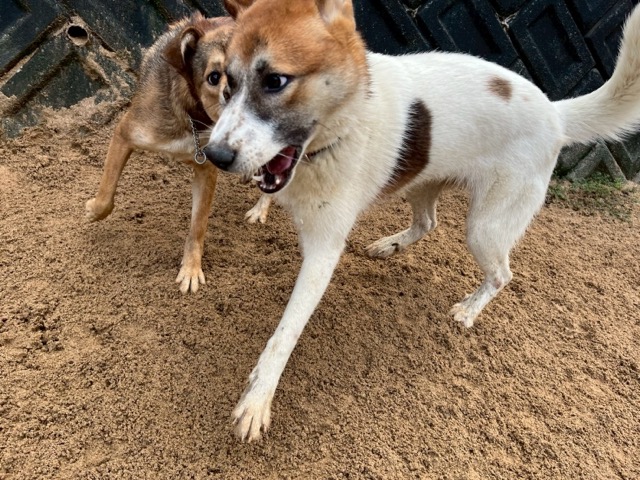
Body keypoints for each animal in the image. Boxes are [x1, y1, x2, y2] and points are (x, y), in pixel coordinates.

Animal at [85, 12, 271, 293]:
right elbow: (107, 192)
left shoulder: (206, 172)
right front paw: (94, 210)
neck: (195, 119)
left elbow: (198, 226)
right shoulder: (125, 134)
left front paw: (191, 269)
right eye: (213, 77)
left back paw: (260, 209)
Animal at [205, 0, 640, 441]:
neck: (344, 125)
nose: (214, 156)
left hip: (485, 227)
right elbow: (268, 188)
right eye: (225, 82)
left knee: (502, 274)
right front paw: (260, 208)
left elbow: (286, 333)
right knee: (428, 223)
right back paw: (389, 245)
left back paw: (468, 311)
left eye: (276, 81)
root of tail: (555, 112)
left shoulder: (323, 251)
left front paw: (257, 402)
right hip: (420, 183)